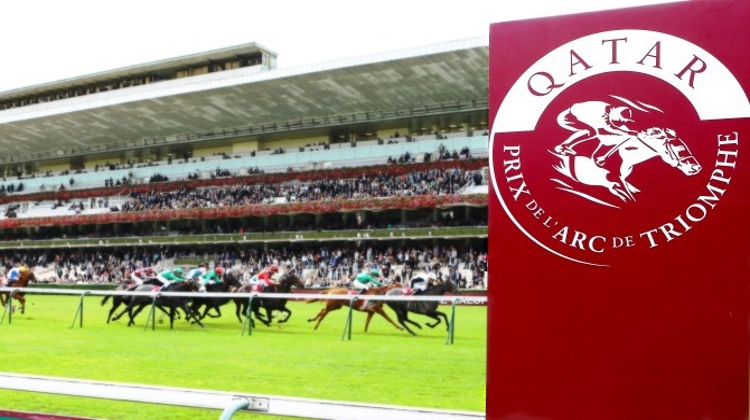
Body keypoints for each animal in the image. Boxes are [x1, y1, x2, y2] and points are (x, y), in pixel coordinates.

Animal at [552, 126, 704, 202]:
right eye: (679, 148)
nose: (697, 168)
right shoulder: (615, 178)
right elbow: (627, 194)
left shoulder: (617, 179)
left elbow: (623, 188)